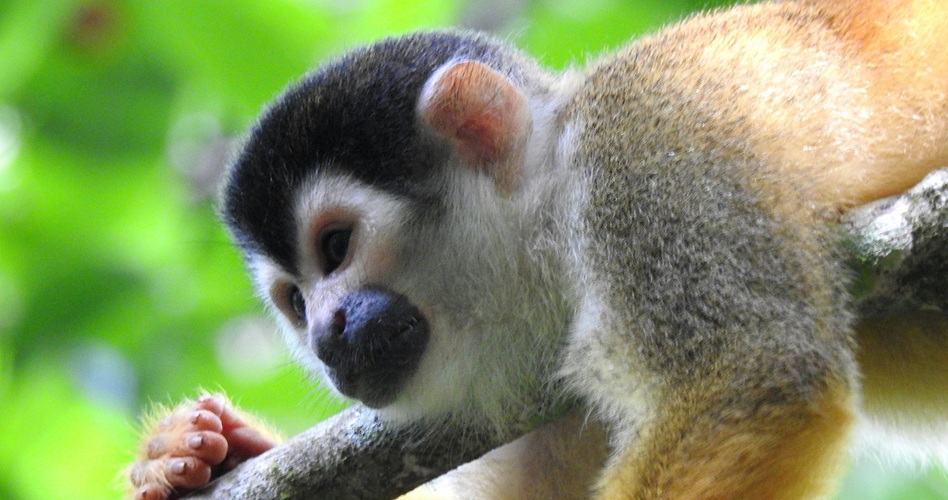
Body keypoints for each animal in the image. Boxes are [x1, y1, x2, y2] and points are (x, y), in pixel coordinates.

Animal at [126, 0, 948, 498]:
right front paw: (204, 451)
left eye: (336, 246)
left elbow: (752, 378)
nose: (326, 335)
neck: (551, 208)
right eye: (295, 302)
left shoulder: (649, 159)